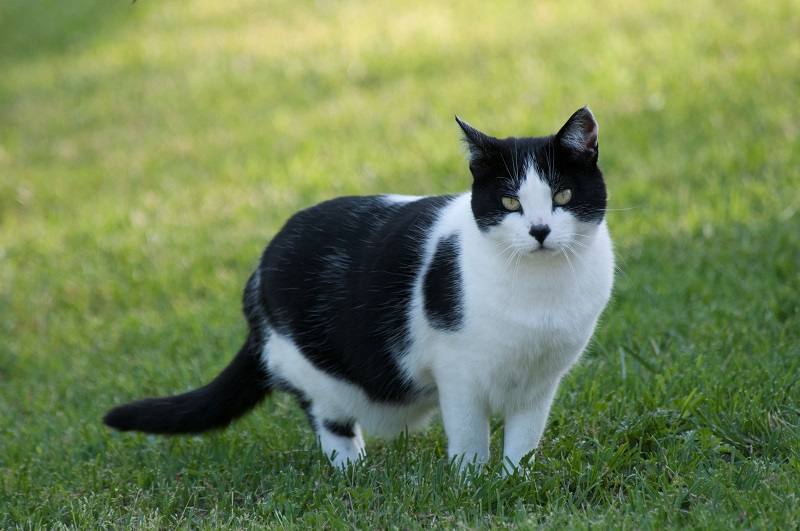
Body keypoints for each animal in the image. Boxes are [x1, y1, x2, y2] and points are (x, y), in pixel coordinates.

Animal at [103, 106, 616, 472]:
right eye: (510, 202)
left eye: (562, 196)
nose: (539, 230)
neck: (540, 291)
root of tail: (260, 266)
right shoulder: (458, 375)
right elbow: (470, 437)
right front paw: (470, 484)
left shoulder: (540, 383)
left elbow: (524, 441)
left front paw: (514, 481)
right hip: (313, 366)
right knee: (327, 417)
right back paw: (352, 470)